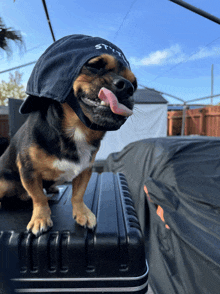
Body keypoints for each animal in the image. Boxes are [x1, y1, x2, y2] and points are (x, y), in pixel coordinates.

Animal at [0, 35, 137, 237]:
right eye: (95, 65)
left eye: (134, 84)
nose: (127, 87)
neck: (77, 129)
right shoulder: (28, 171)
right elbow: (38, 197)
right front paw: (40, 218)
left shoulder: (85, 170)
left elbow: (77, 195)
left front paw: (82, 214)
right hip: (4, 183)